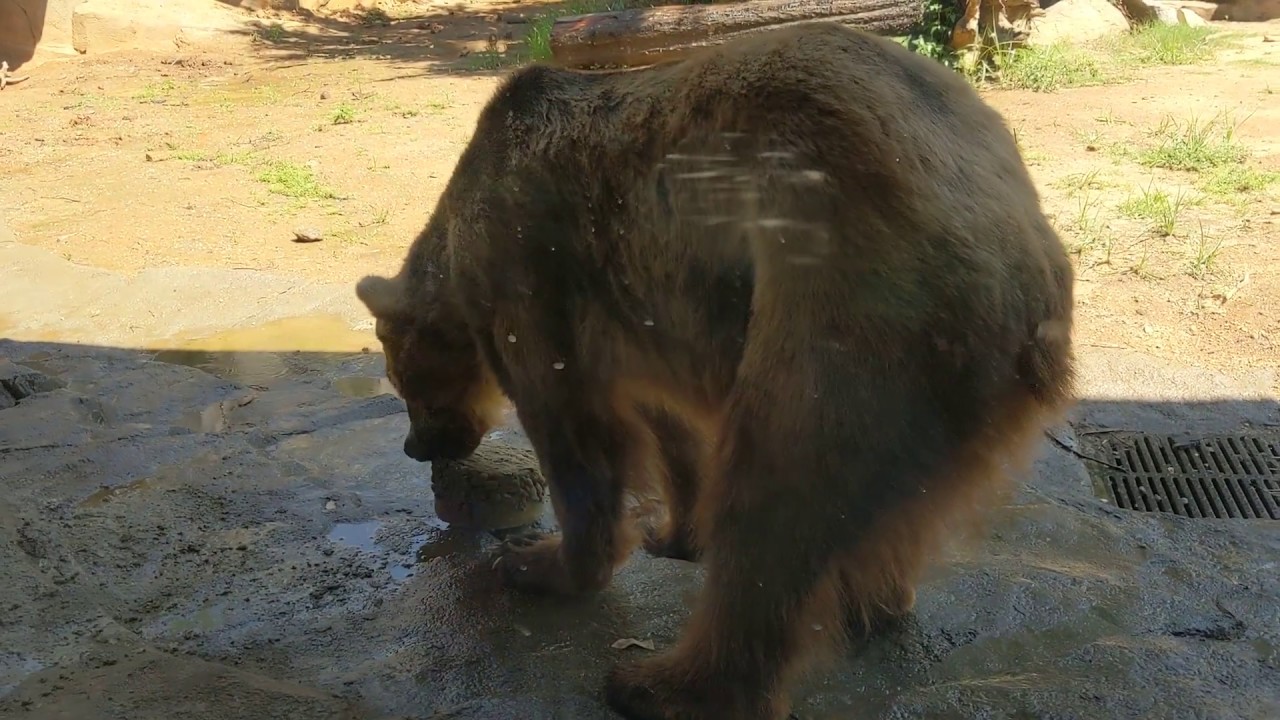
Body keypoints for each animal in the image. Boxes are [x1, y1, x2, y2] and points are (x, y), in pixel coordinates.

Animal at [354, 21, 1075, 720]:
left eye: (402, 380)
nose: (416, 445)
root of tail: (1033, 269)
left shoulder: (530, 268)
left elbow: (574, 427)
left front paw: (538, 561)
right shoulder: (646, 325)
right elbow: (671, 431)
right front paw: (675, 532)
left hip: (857, 303)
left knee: (779, 485)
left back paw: (661, 683)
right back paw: (870, 599)